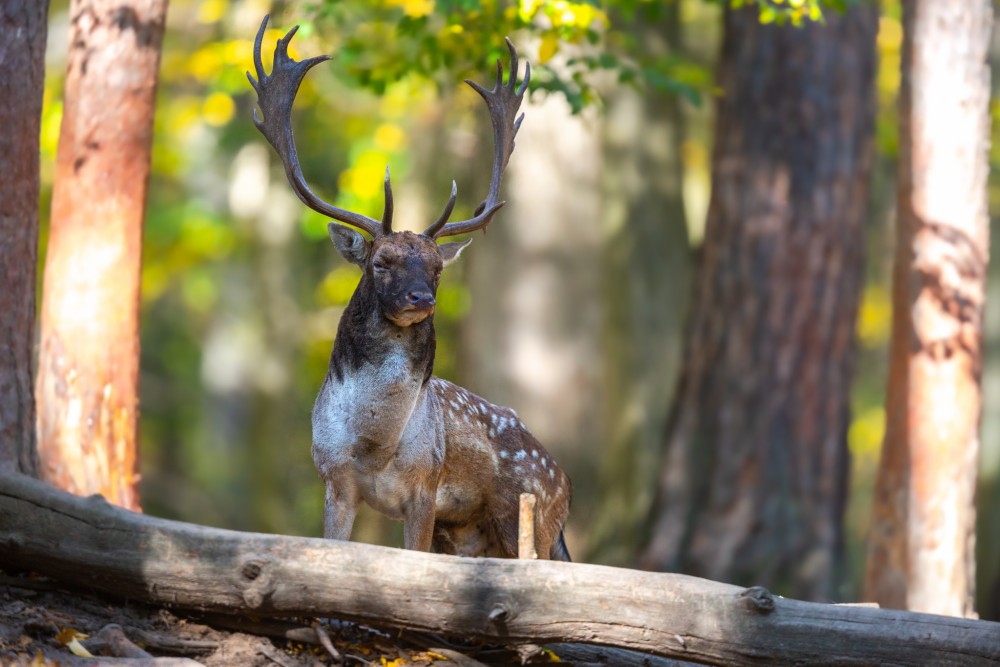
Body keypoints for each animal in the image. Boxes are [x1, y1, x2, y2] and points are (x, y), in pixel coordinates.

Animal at [249, 17, 572, 560]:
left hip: (531, 518)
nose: (422, 298)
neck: (374, 447)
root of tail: (566, 484)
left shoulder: (425, 486)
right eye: (381, 262)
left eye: (438, 267)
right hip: (467, 531)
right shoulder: (332, 479)